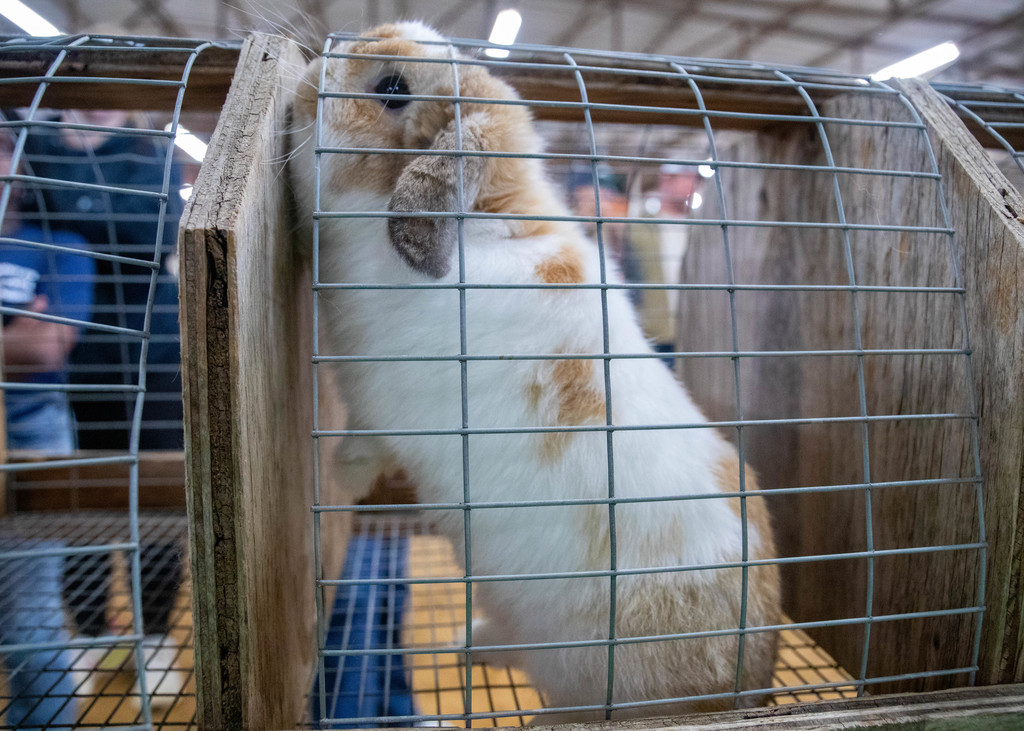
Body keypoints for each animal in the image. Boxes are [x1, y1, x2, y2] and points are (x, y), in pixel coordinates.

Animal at [288, 21, 780, 724]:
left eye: (392, 89)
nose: (306, 78)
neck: (481, 222)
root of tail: (754, 685)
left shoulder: (380, 409)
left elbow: (362, 449)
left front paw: (334, 478)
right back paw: (467, 646)